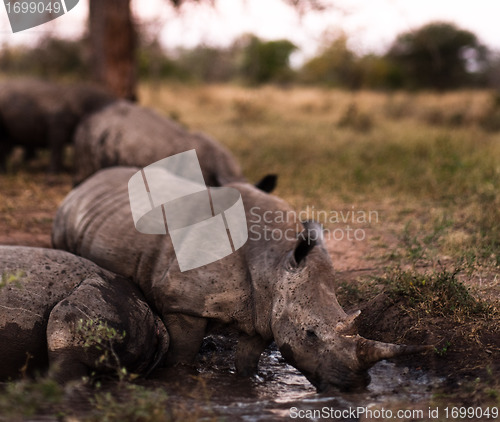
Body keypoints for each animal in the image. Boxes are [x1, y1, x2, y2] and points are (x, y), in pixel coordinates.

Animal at [53, 166, 430, 390]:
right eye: (310, 335)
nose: (355, 384)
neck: (276, 261)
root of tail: (87, 182)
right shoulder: (183, 305)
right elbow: (182, 357)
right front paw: (180, 380)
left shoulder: (265, 310)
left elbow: (248, 363)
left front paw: (249, 385)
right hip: (66, 215)